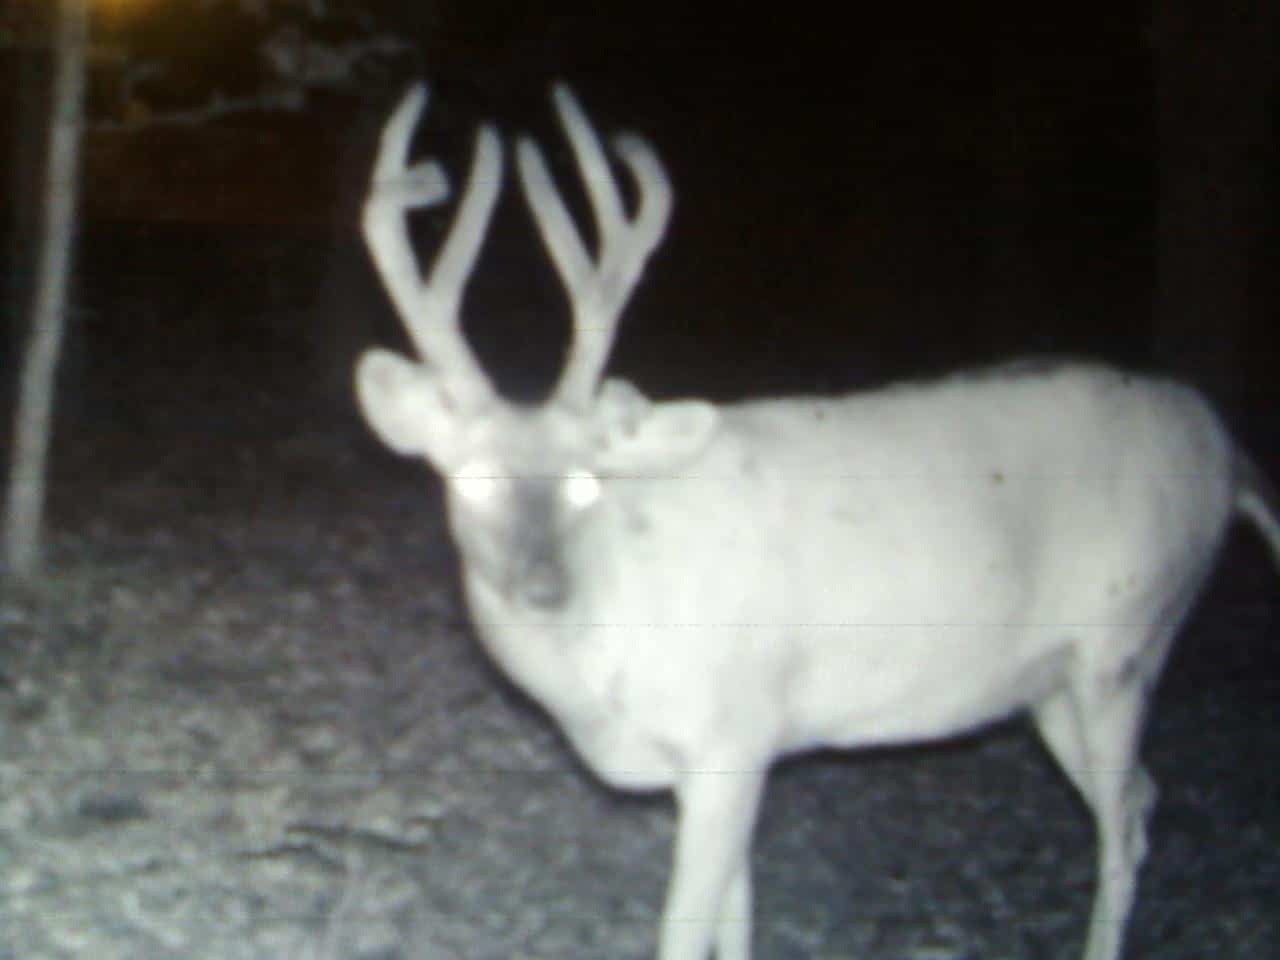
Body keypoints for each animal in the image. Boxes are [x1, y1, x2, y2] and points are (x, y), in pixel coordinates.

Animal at [353, 83, 1280, 960]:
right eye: (473, 480)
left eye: (588, 483)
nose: (543, 586)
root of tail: (1229, 450)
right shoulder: (726, 759)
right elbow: (735, 923)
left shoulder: (735, 731)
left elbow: (684, 933)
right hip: (1050, 686)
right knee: (1142, 800)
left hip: (1128, 640)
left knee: (1123, 824)